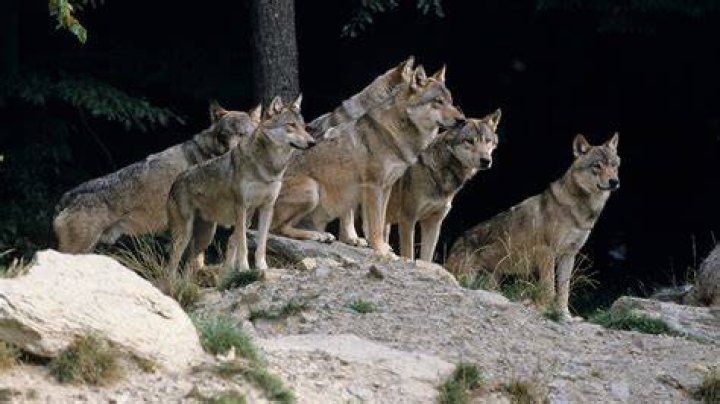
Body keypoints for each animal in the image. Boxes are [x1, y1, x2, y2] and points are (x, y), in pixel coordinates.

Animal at [166, 95, 314, 273]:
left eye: (304, 127)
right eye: (291, 125)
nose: (312, 142)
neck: (269, 168)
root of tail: (175, 181)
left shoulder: (266, 208)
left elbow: (260, 243)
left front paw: (262, 267)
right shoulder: (241, 207)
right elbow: (242, 243)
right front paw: (244, 268)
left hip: (205, 237)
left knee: (189, 266)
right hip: (184, 235)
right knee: (170, 267)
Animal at [270, 66, 465, 255]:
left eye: (450, 101)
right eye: (438, 101)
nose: (462, 120)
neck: (395, 133)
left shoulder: (386, 187)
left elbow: (380, 221)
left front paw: (381, 247)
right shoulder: (373, 186)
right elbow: (375, 225)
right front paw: (380, 249)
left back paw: (322, 235)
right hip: (312, 191)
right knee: (277, 229)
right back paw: (317, 236)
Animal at [384, 109, 501, 262]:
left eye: (487, 141)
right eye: (469, 141)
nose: (486, 160)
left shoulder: (433, 223)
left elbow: (426, 258)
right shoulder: (407, 219)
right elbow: (409, 254)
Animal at [445, 133, 620, 318]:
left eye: (614, 165)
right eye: (597, 166)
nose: (614, 182)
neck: (581, 210)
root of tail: (454, 245)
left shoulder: (568, 255)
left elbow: (564, 289)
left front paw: (564, 314)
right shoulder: (546, 252)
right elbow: (549, 287)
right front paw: (546, 309)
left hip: (492, 280)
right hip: (467, 276)